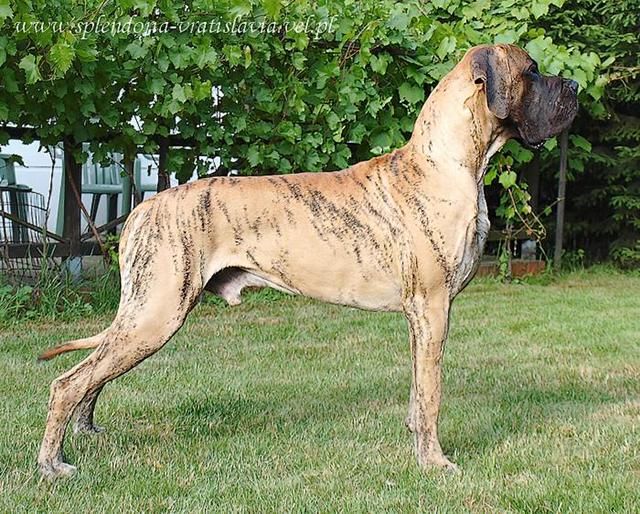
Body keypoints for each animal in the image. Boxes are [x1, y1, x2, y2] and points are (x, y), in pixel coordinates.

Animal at [37, 44, 578, 479]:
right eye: (531, 71)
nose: (573, 85)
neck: (448, 163)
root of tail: (143, 208)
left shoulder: (420, 318)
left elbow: (417, 390)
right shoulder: (433, 307)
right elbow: (432, 395)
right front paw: (434, 463)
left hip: (142, 315)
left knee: (94, 374)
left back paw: (86, 433)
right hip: (156, 313)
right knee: (68, 381)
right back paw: (53, 464)